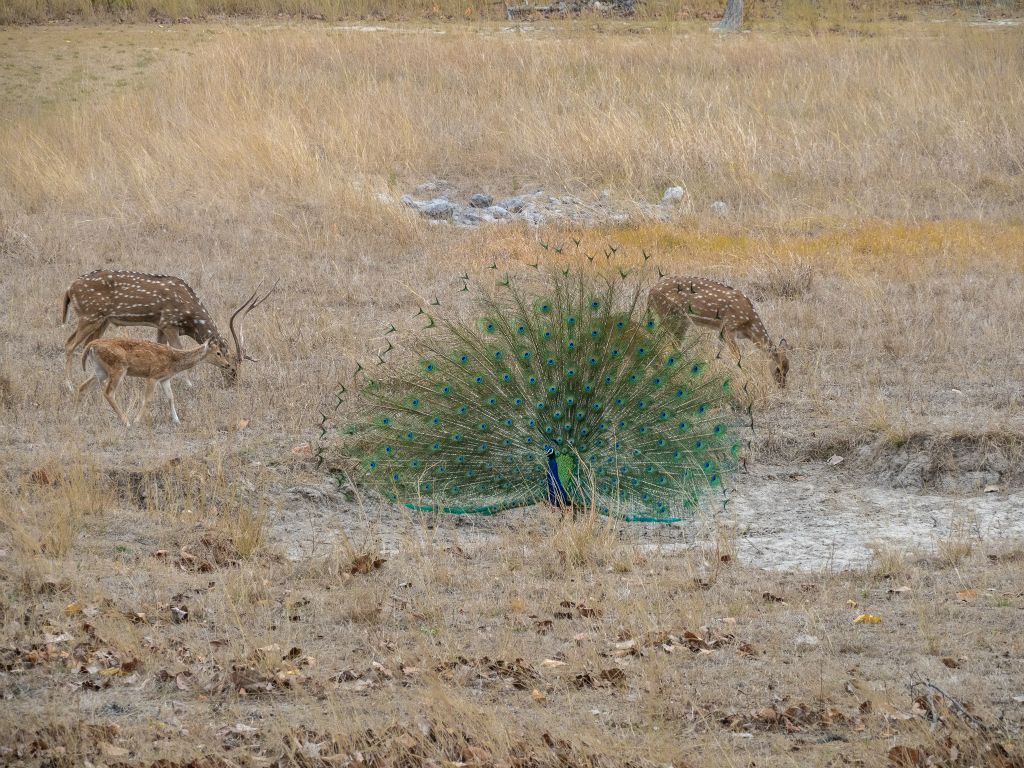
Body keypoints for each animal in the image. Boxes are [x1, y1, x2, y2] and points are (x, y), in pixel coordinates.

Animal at [61, 272, 274, 391]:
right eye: (231, 365)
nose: (234, 382)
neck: (190, 318)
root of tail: (69, 288)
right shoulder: (170, 323)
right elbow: (178, 349)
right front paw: (189, 384)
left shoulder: (161, 325)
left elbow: (160, 348)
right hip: (90, 315)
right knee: (70, 343)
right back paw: (70, 385)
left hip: (102, 320)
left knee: (88, 343)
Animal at [77, 342, 228, 430]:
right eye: (218, 353)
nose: (226, 364)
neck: (174, 360)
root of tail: (92, 346)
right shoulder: (153, 376)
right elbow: (148, 399)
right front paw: (137, 420)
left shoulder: (164, 379)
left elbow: (171, 397)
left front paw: (177, 421)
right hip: (118, 368)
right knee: (108, 393)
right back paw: (127, 422)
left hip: (100, 371)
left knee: (82, 386)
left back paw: (76, 417)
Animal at [647, 274, 790, 387]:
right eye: (778, 369)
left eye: (788, 369)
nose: (782, 386)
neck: (748, 326)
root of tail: (650, 292)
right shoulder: (729, 327)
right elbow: (737, 357)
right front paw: (746, 379)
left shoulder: (721, 331)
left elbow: (718, 351)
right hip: (669, 316)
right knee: (664, 344)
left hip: (681, 322)